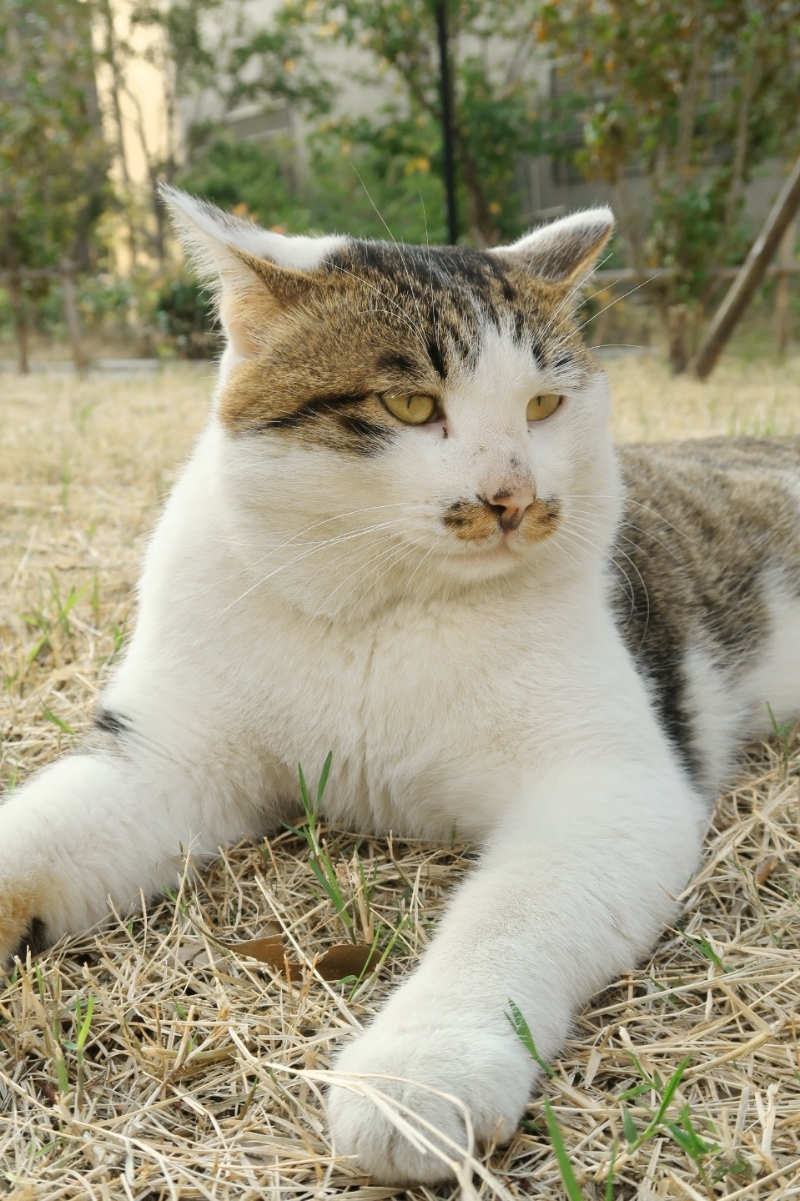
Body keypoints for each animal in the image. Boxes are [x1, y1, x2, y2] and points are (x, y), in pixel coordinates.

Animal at [1, 192, 797, 1186]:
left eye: (545, 405)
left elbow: (508, 916)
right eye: (411, 403)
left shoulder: (611, 789)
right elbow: (32, 841)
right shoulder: (164, 758)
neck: (378, 610)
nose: (514, 498)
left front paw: (416, 1074)